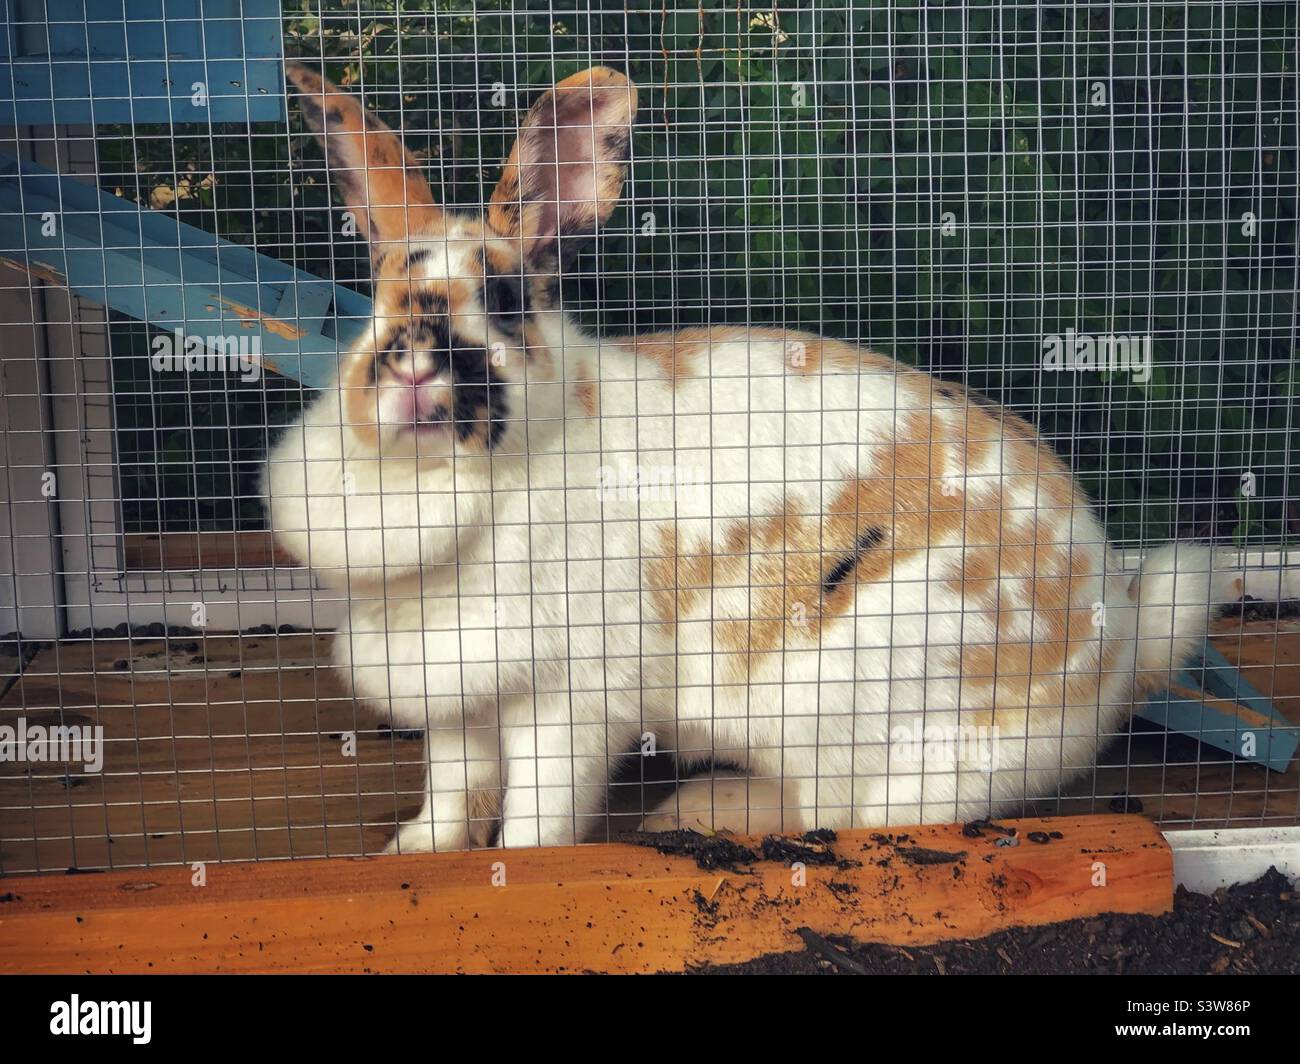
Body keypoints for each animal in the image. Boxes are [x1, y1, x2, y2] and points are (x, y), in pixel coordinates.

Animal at [258, 62, 1294, 848]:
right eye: (379, 297)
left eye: (506, 302)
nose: (410, 364)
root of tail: (1116, 651)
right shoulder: (456, 701)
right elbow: (454, 789)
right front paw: (414, 855)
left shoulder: (566, 698)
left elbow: (540, 809)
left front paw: (526, 868)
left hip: (858, 705)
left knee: (852, 817)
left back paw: (708, 814)